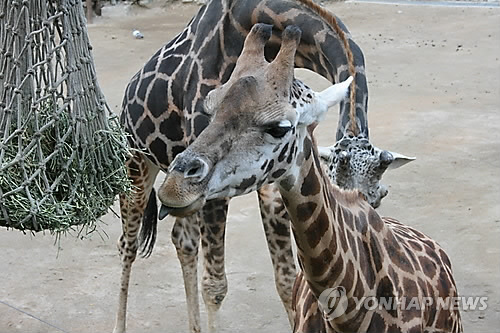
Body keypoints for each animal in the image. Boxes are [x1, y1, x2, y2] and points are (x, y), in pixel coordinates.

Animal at [115, 1, 412, 330]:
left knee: (183, 241)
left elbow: (286, 278)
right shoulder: (210, 187)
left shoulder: (271, 176)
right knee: (127, 245)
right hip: (137, 164)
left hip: (179, 190)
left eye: (378, 197)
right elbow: (215, 286)